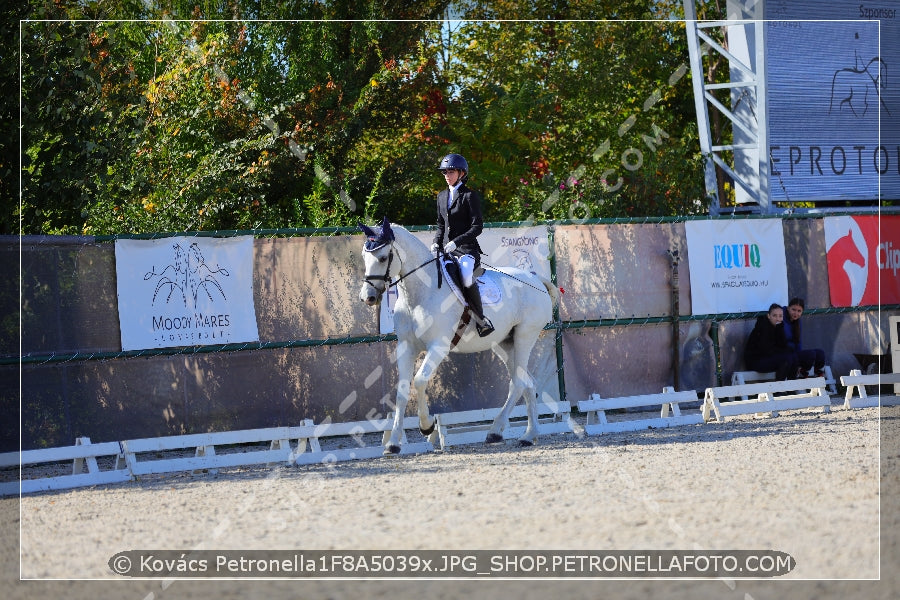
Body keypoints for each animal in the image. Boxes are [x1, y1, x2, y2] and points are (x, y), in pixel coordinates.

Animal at [356, 218, 556, 452]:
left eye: (383, 257)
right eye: (364, 256)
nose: (367, 297)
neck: (421, 292)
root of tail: (536, 279)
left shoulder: (438, 346)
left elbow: (420, 381)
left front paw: (427, 426)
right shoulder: (405, 346)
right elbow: (402, 391)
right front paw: (394, 443)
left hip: (525, 335)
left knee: (518, 382)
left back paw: (497, 431)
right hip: (505, 344)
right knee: (527, 382)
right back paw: (529, 435)